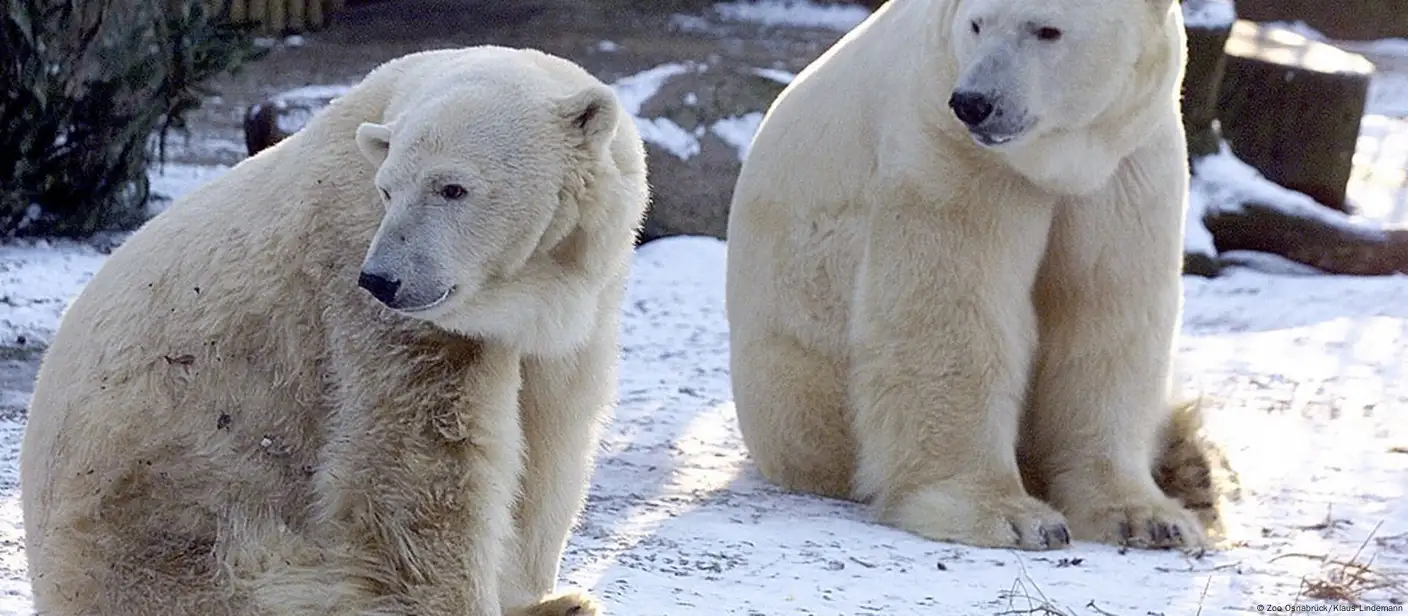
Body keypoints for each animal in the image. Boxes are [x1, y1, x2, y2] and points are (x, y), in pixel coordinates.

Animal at [22, 45, 647, 613]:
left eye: (452, 187)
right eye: (387, 189)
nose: (382, 280)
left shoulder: (584, 301)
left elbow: (555, 426)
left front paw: (538, 593)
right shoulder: (361, 284)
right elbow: (418, 470)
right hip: (171, 535)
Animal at [720, 0, 1227, 551]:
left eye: (1046, 30)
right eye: (977, 24)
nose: (974, 103)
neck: (1053, 160)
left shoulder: (1129, 160)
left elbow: (1109, 311)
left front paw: (1148, 519)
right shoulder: (946, 147)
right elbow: (952, 309)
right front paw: (1011, 516)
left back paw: (1192, 467)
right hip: (802, 388)